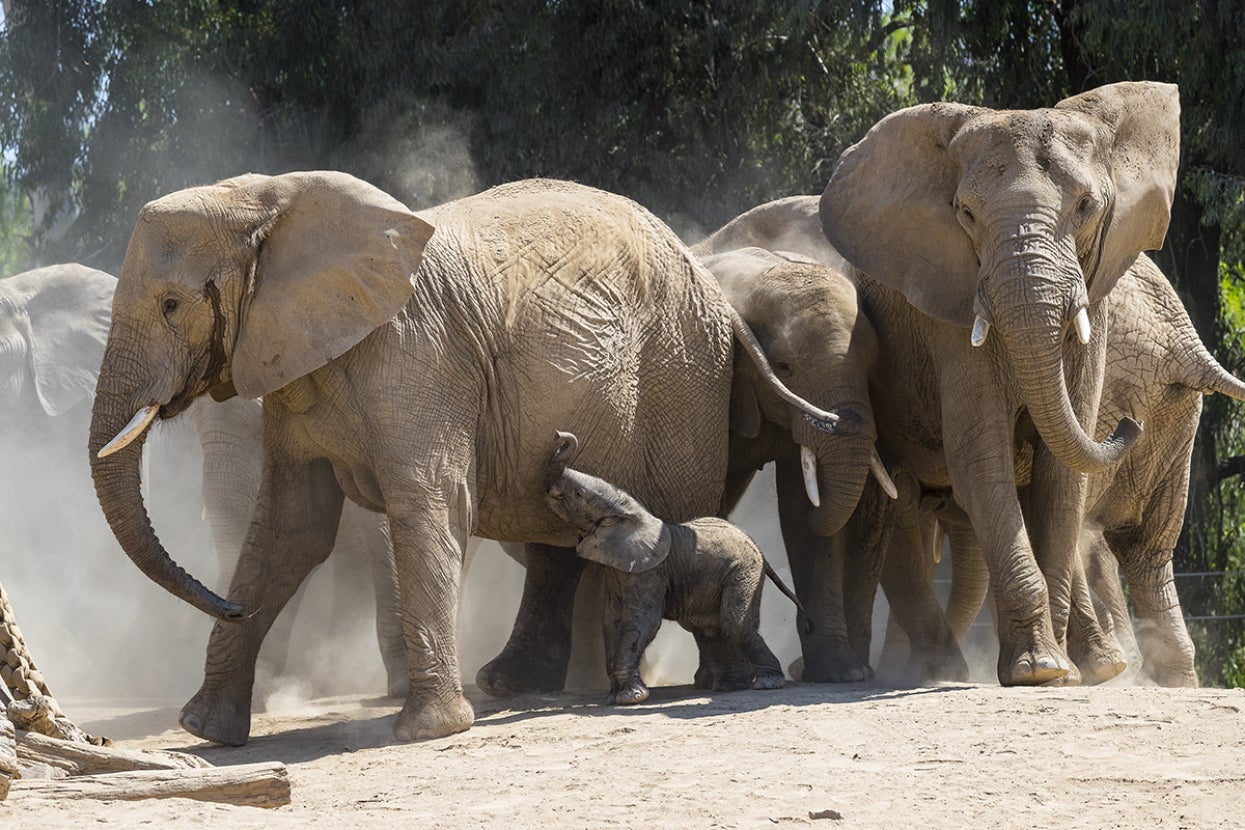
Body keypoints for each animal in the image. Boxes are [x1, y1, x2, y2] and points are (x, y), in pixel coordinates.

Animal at [543, 431, 795, 704]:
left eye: (579, 493)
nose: (558, 434)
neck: (631, 514)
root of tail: (757, 545)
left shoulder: (650, 572)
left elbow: (643, 620)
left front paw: (631, 699)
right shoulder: (619, 570)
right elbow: (611, 620)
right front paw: (615, 698)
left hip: (743, 570)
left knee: (733, 622)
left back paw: (767, 683)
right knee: (710, 627)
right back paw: (727, 687)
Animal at [820, 80, 1182, 685]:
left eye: (1085, 207)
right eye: (966, 214)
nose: (1131, 422)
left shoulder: (1096, 306)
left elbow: (1062, 476)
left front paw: (1064, 673)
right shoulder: (949, 311)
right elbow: (983, 464)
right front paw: (1040, 671)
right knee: (895, 511)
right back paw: (933, 671)